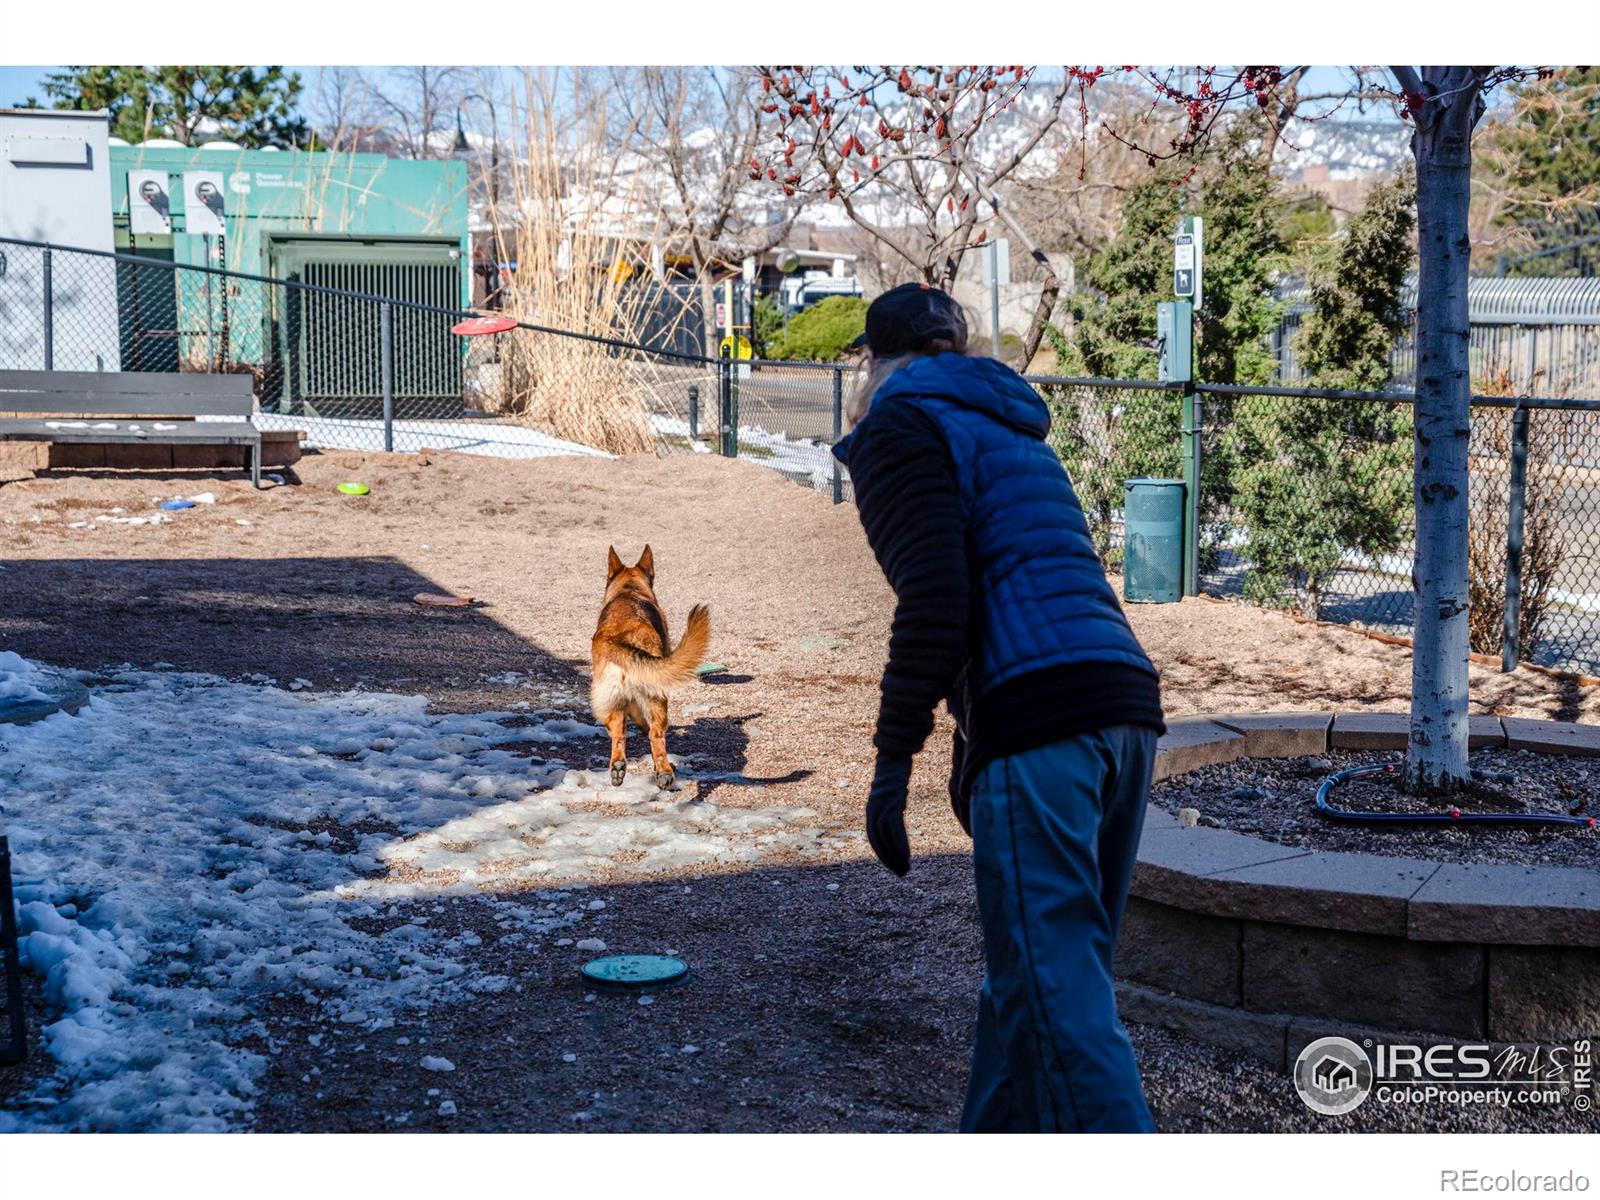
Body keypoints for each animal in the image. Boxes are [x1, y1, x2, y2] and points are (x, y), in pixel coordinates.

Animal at [592, 544, 710, 790]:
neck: (629, 590)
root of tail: (619, 641)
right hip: (656, 697)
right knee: (656, 734)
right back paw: (664, 772)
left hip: (612, 703)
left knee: (619, 733)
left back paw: (619, 767)